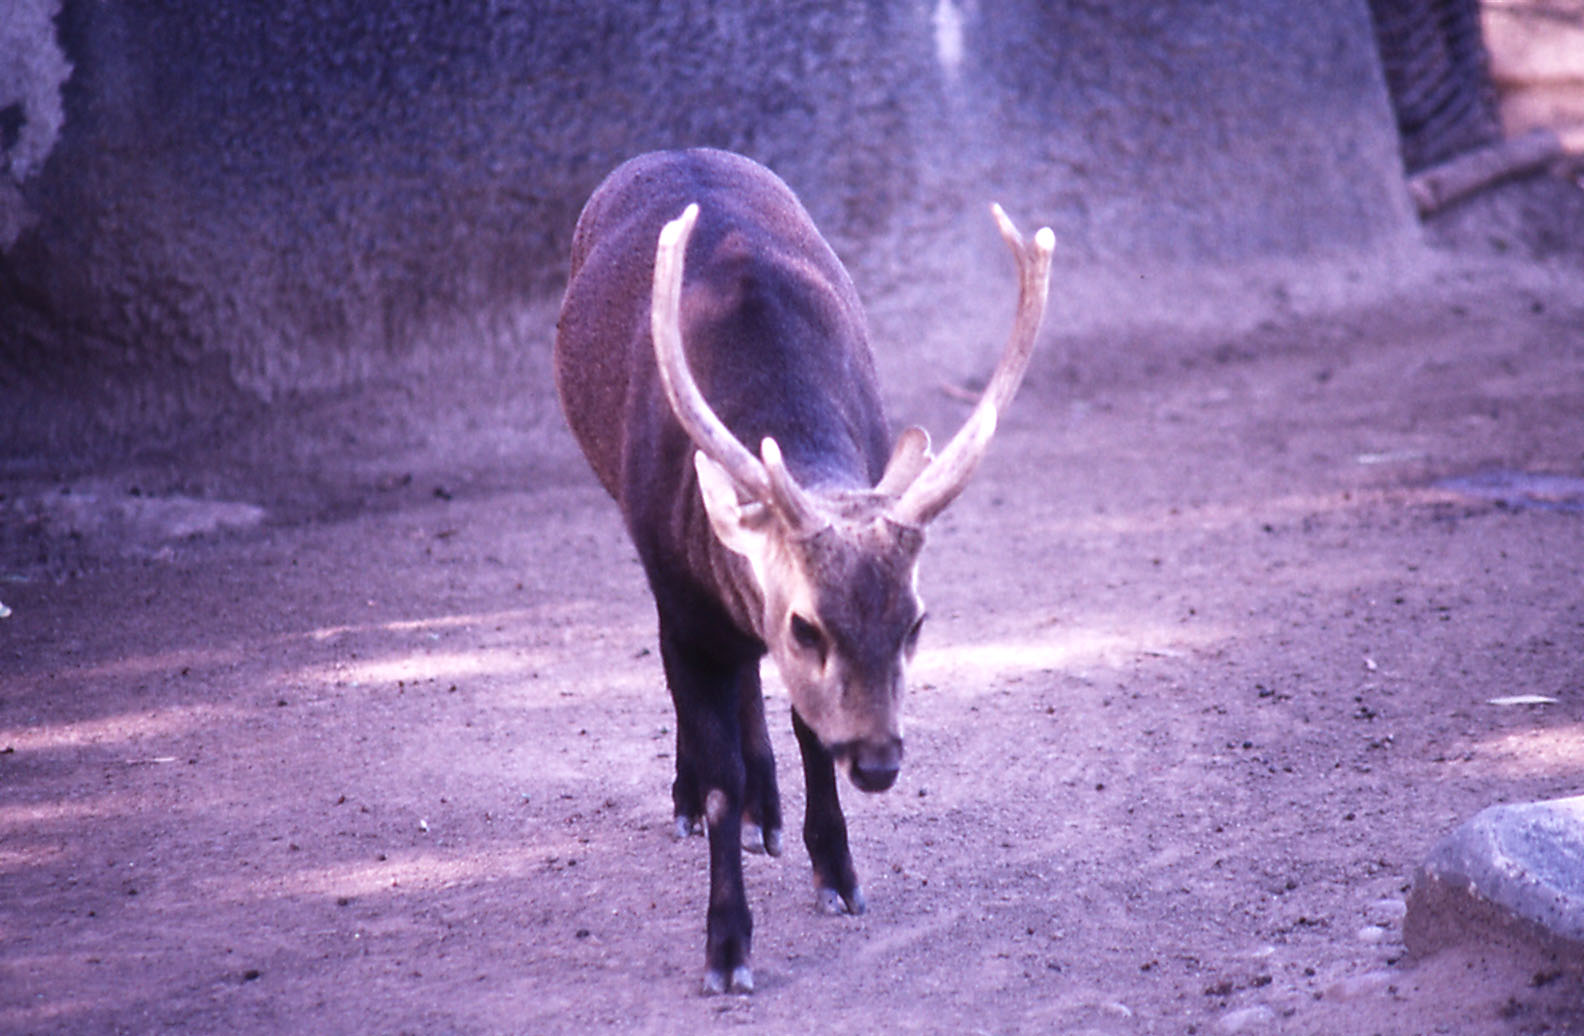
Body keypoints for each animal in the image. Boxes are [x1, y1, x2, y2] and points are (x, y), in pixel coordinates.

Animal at [553, 148, 1053, 994]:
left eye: (917, 620)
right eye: (806, 624)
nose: (880, 762)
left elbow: (807, 729)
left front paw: (839, 875)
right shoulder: (683, 600)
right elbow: (719, 772)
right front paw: (727, 949)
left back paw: (773, 809)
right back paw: (708, 802)